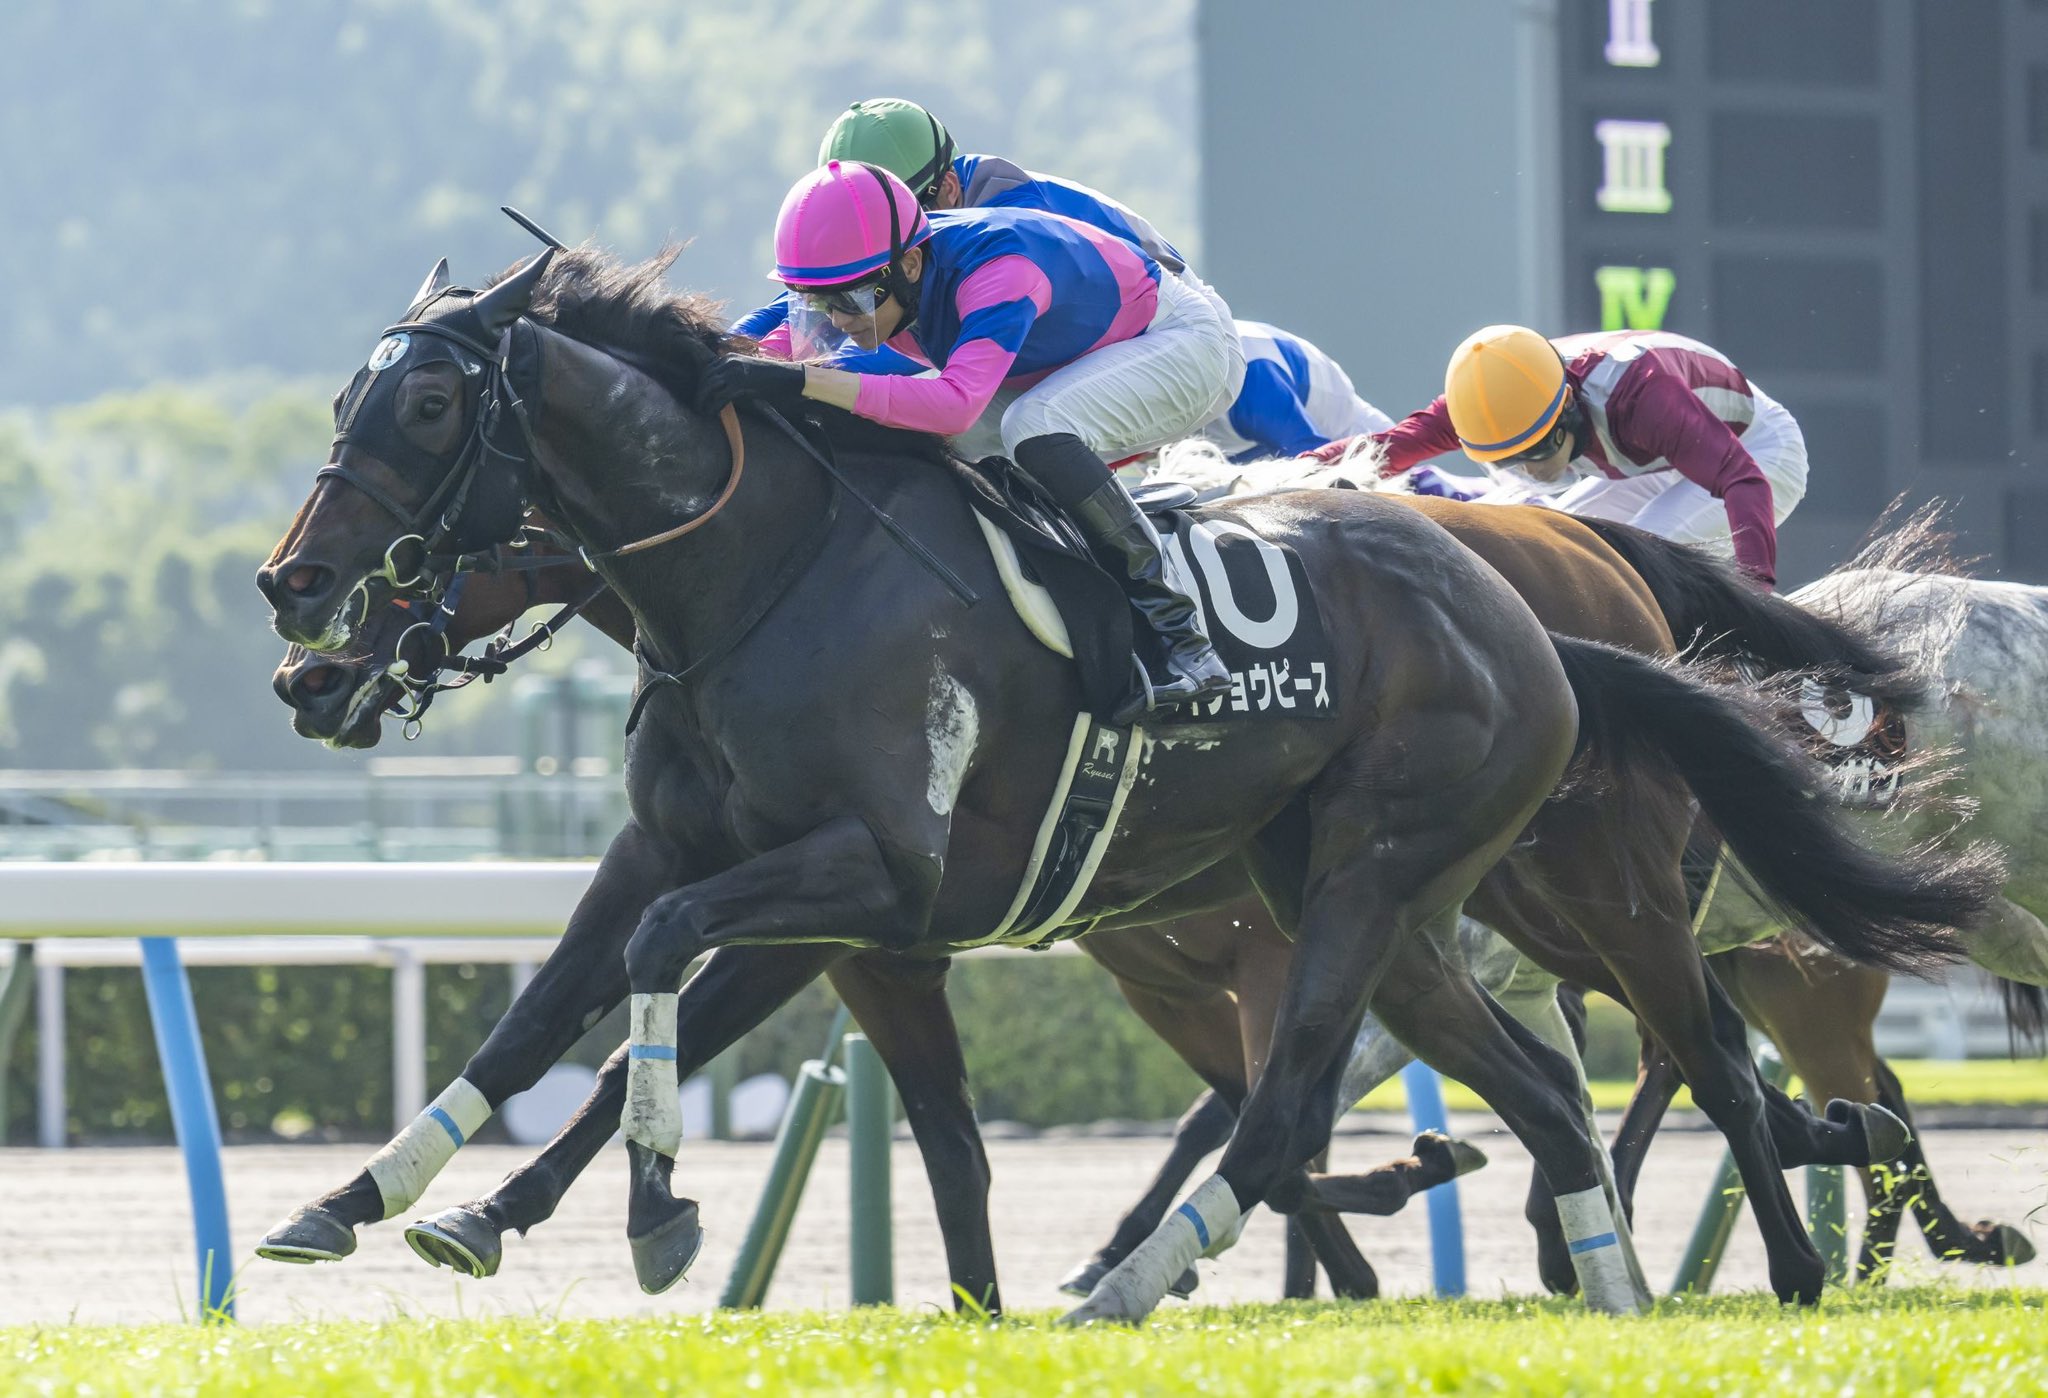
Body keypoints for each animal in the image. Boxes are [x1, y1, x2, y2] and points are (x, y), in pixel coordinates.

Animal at [255, 242, 1995, 1315]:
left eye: (427, 403)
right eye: (345, 397)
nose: (297, 614)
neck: (764, 569)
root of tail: (1544, 623)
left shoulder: (865, 877)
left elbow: (649, 976)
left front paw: (656, 1213)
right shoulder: (750, 879)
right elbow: (556, 1012)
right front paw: (380, 1199)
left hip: (1496, 883)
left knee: (1628, 1062)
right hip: (1381, 904)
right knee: (1541, 1081)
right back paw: (1609, 1275)